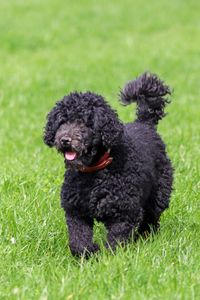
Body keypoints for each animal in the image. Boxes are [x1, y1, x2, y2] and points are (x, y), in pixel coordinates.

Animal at [43, 72, 173, 255]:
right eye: (62, 122)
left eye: (84, 123)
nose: (65, 140)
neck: (94, 173)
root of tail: (144, 123)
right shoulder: (76, 212)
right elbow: (78, 241)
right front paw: (90, 252)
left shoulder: (123, 213)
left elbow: (116, 241)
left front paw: (110, 257)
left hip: (158, 195)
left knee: (151, 220)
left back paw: (145, 238)